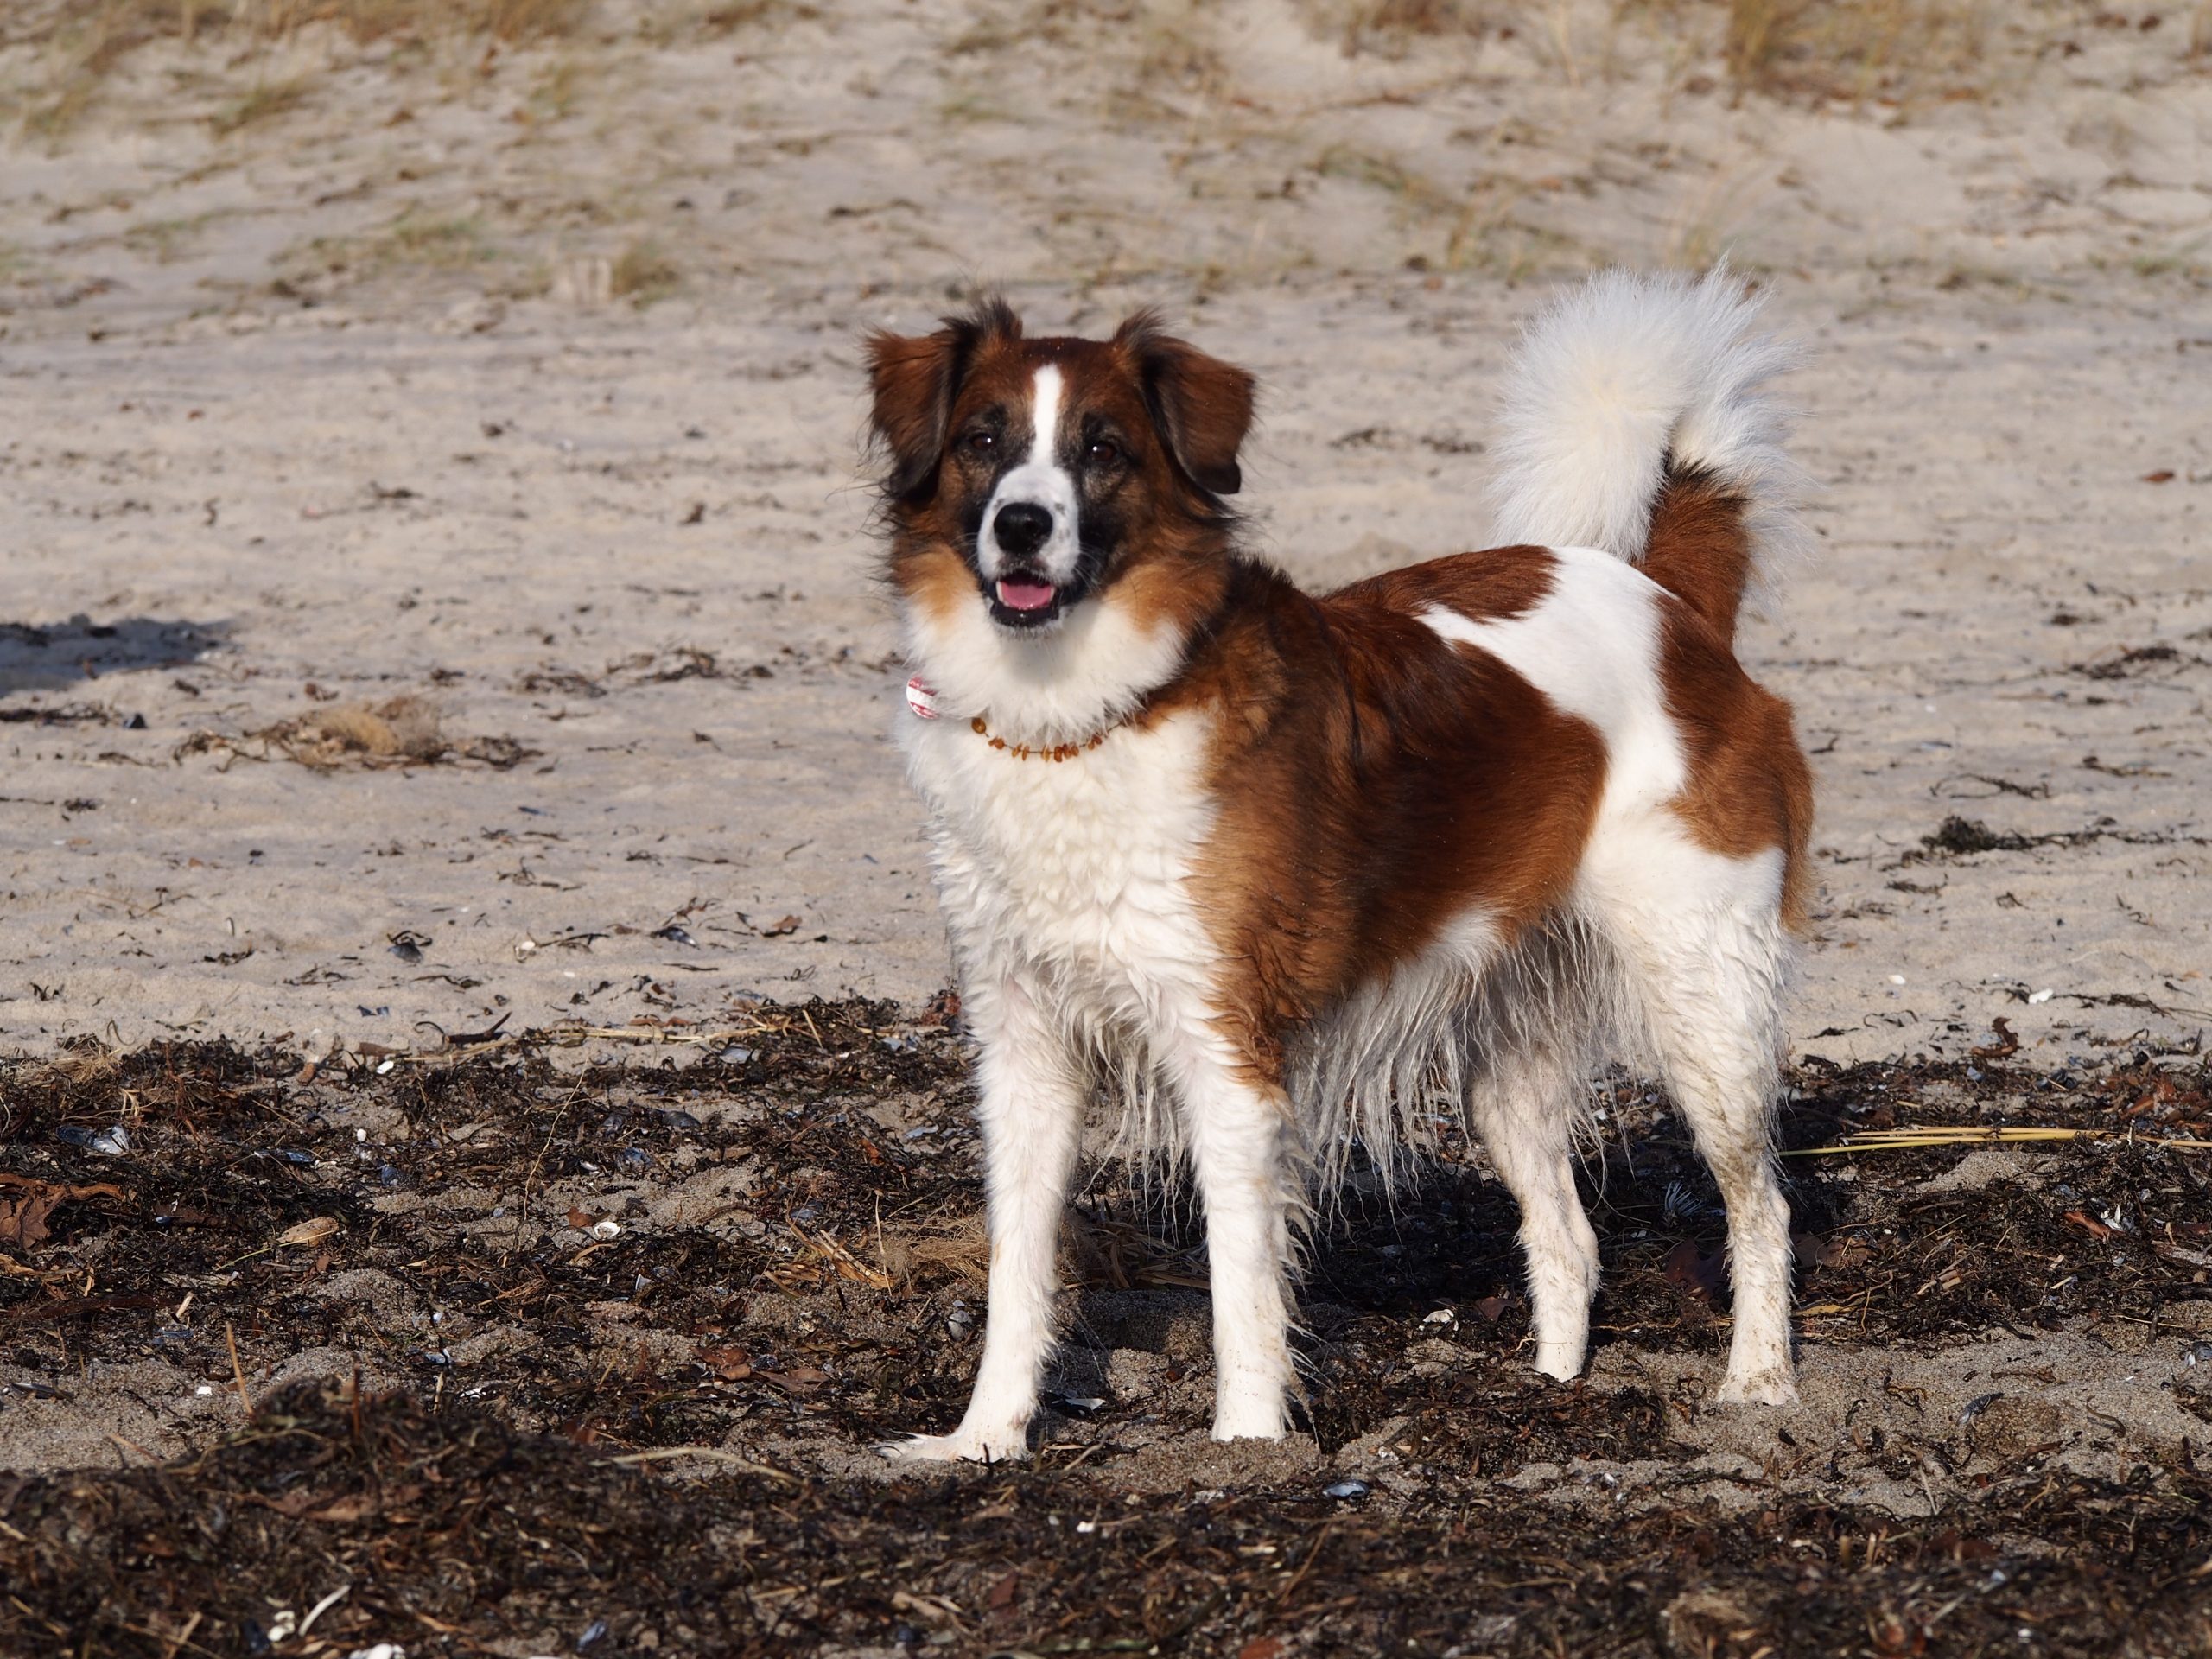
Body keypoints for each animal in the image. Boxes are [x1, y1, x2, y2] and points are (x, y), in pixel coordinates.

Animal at [864, 269, 1814, 1460]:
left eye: (1103, 450)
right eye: (983, 441)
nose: (1022, 526)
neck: (1084, 714)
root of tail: (1669, 605)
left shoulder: (1225, 1053)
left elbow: (1242, 1288)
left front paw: (1247, 1450)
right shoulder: (1023, 1047)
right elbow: (1018, 1269)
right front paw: (982, 1441)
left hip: (1704, 1004)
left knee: (1759, 1201)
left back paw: (1758, 1385)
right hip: (1507, 1059)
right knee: (1569, 1236)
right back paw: (1550, 1388)